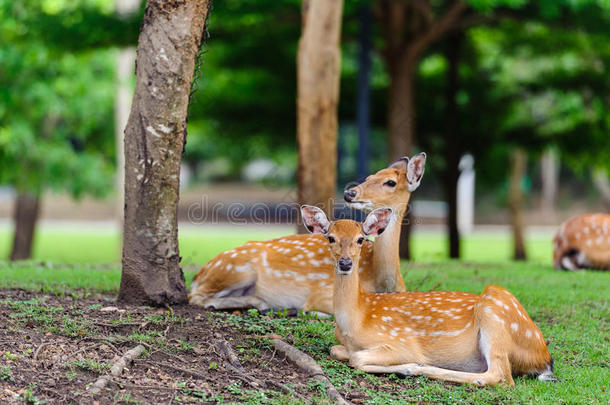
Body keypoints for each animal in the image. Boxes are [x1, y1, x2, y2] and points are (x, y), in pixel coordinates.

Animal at [188, 153, 426, 314]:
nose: (349, 193)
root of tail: (201, 273)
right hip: (236, 269)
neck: (383, 283)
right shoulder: (321, 291)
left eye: (390, 182)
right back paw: (263, 304)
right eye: (368, 177)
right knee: (195, 297)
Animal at [302, 205, 552, 386]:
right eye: (330, 238)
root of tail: (543, 355)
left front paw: (408, 367)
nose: (345, 263)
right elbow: (336, 350)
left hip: (494, 313)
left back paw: (421, 368)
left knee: (500, 375)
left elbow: (357, 358)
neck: (355, 320)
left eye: (360, 239)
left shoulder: (400, 342)